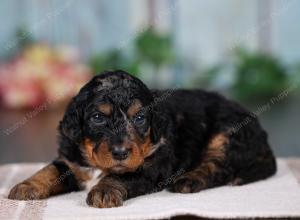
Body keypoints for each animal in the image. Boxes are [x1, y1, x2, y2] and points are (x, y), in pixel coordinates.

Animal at [8, 70, 276, 208]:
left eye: (139, 118)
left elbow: (120, 176)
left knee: (217, 167)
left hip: (227, 134)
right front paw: (27, 185)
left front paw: (104, 191)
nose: (120, 152)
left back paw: (188, 180)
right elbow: (49, 170)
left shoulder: (151, 168)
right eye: (97, 117)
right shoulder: (71, 161)